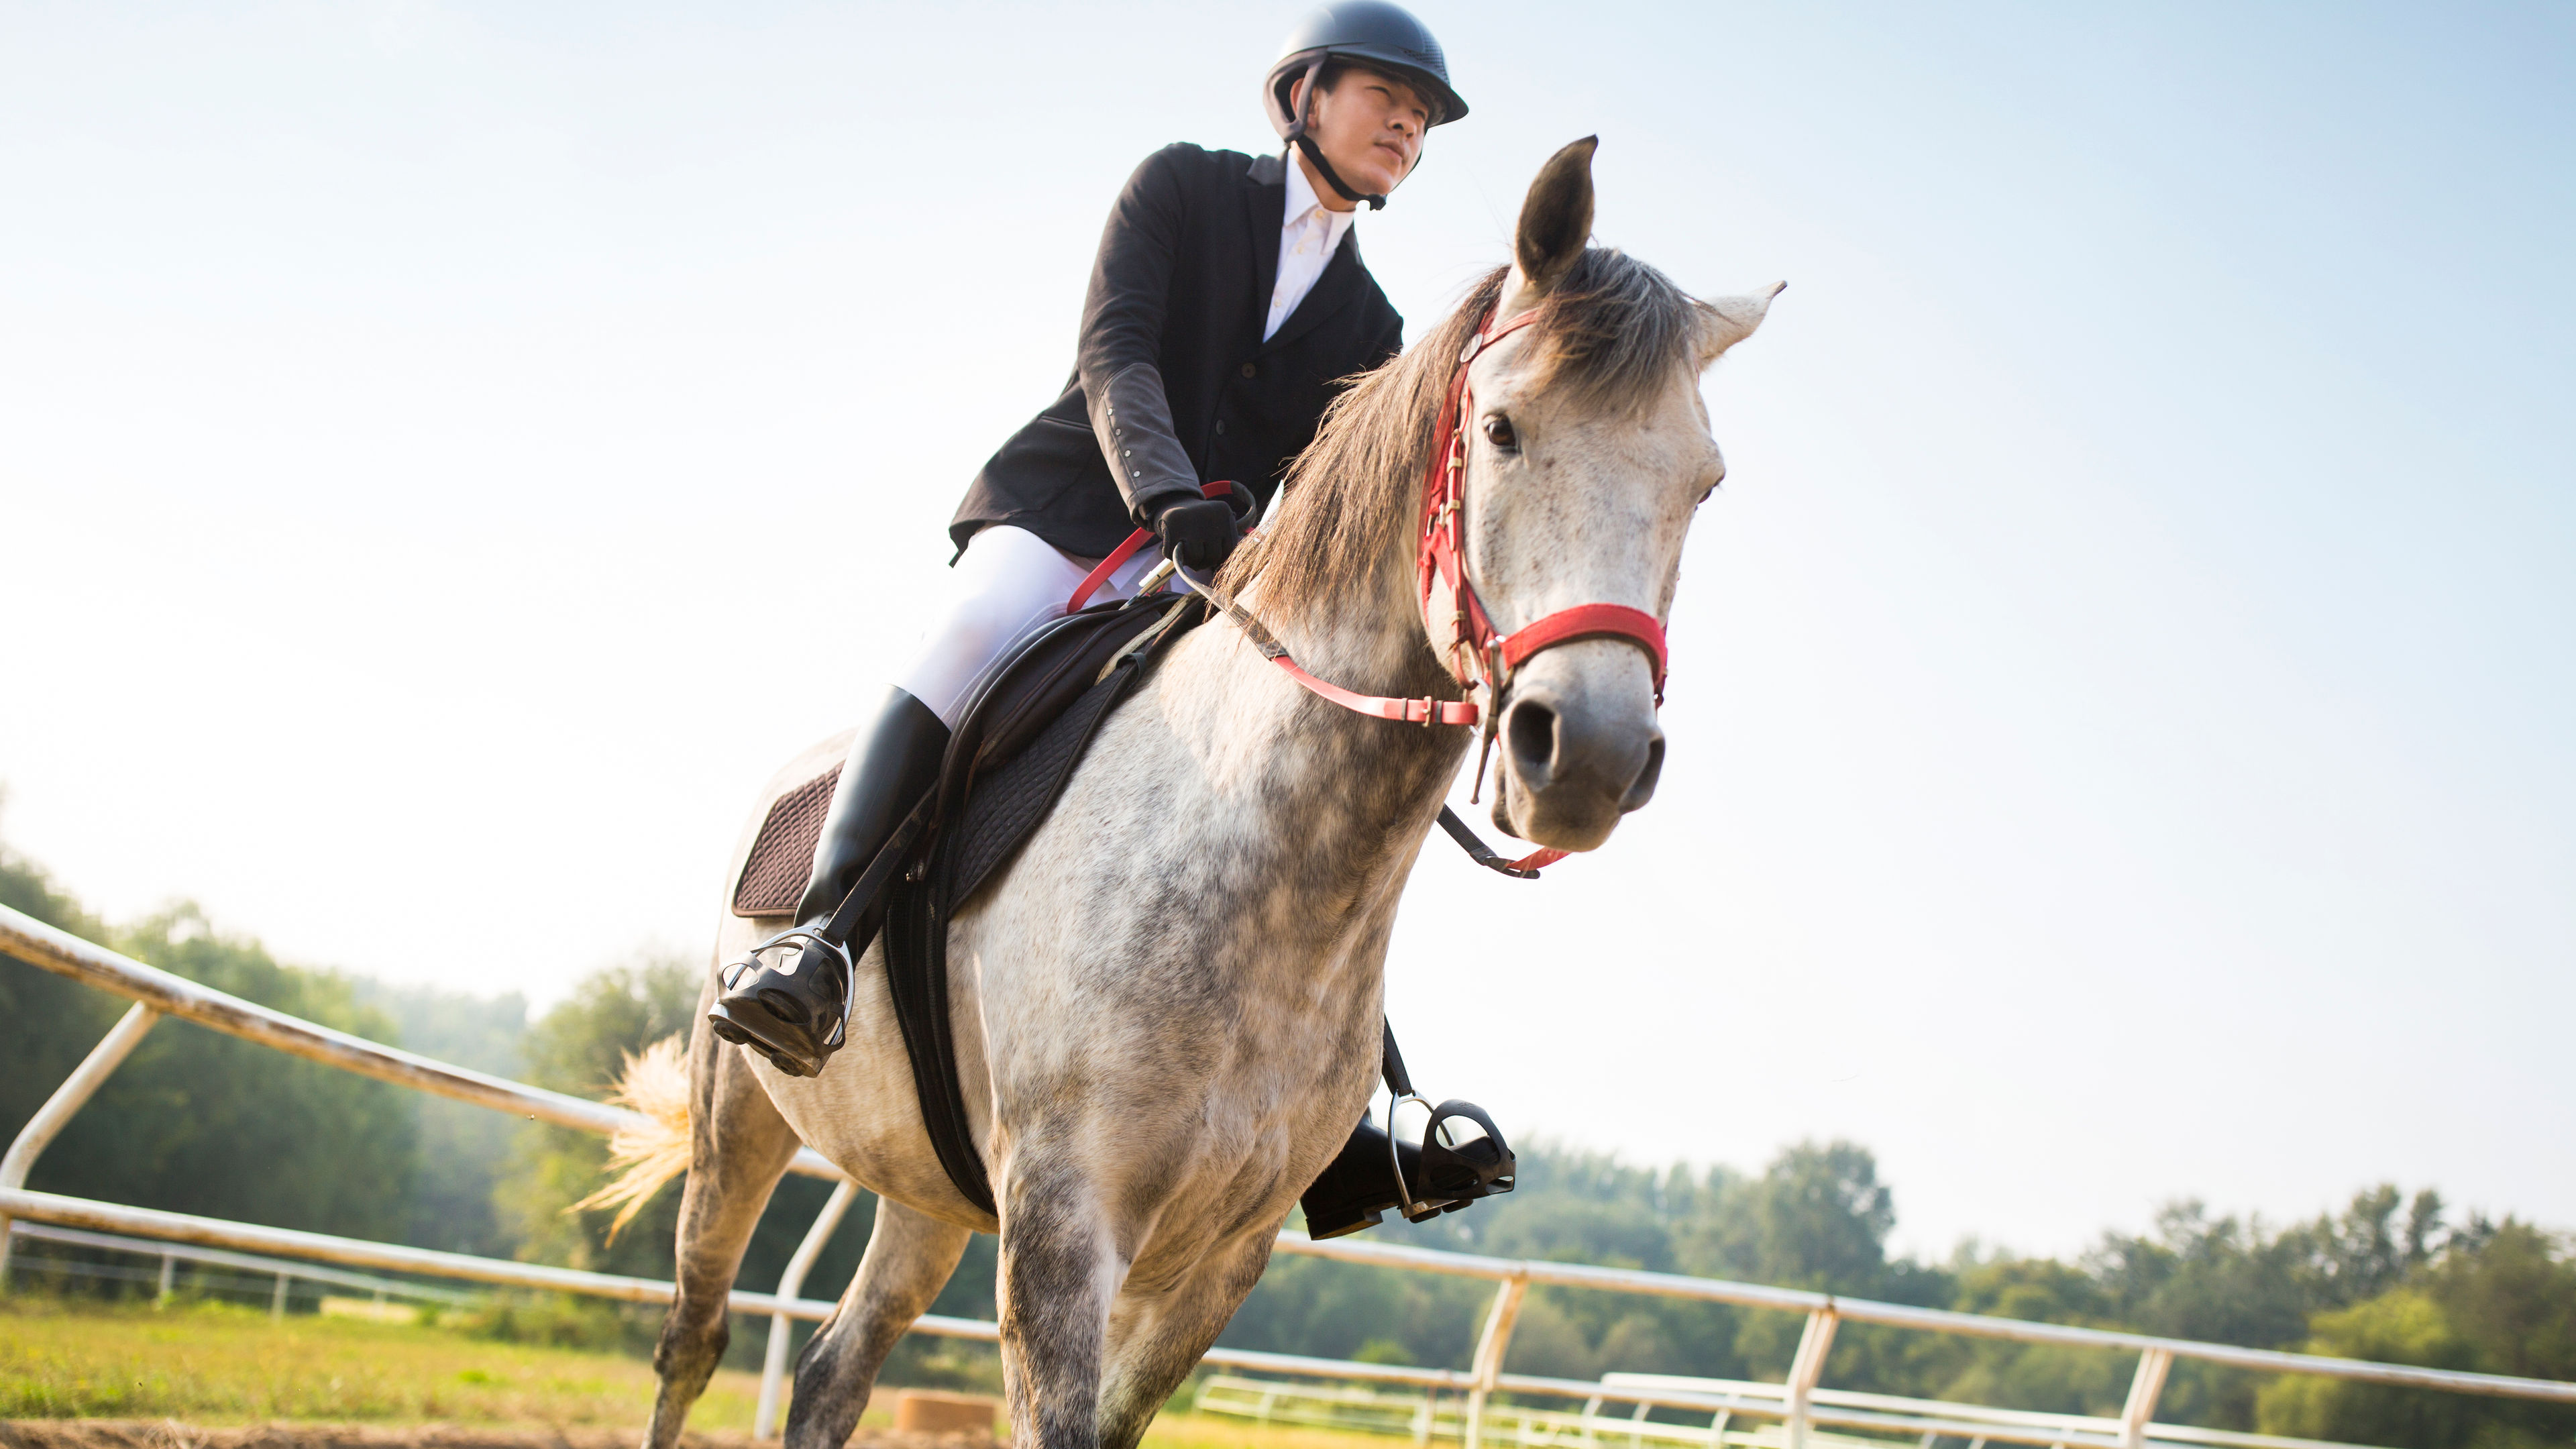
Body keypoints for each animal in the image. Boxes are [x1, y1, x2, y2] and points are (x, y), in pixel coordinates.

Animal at [598, 137, 1780, 1449]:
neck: (1277, 875)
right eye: (1503, 429)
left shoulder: (1220, 1260)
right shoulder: (1065, 1225)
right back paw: (786, 993)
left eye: (1705, 484)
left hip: (932, 1197)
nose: (1589, 757)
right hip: (737, 1123)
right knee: (693, 1339)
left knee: (832, 1370)